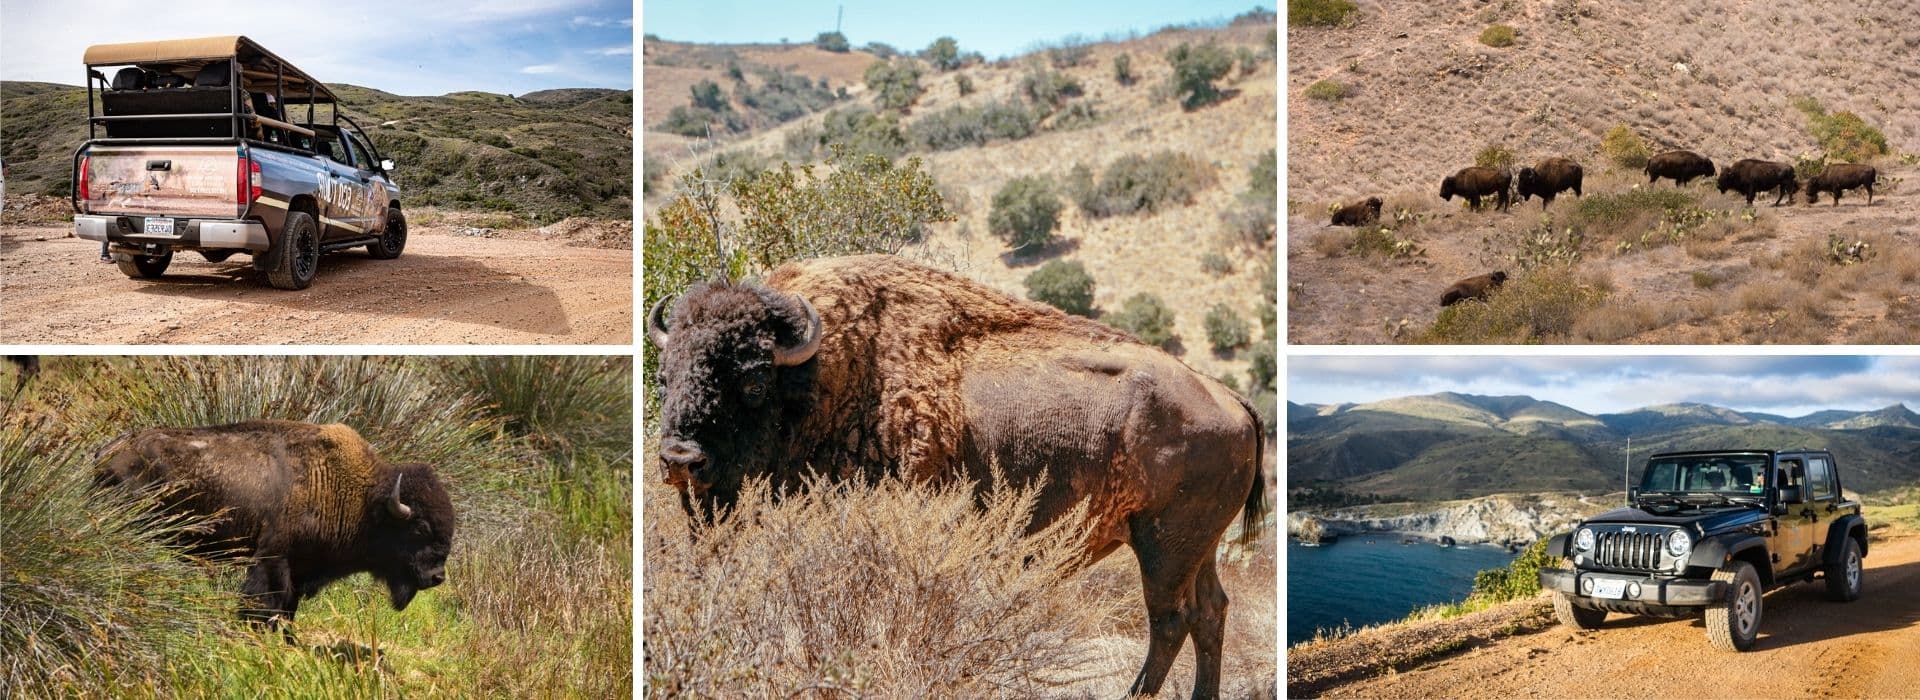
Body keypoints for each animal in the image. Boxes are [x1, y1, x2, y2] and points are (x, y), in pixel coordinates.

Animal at [96, 420, 455, 632]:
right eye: (420, 528)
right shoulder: (273, 559)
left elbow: (288, 608)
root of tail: (108, 451)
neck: (361, 497)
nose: (437, 577)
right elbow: (267, 602)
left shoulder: (300, 569)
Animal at [648, 255, 1266, 699]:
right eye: (664, 376)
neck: (825, 381)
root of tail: (1230, 399)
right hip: (1197, 548)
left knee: (1170, 621)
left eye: (753, 384)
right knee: (1209, 613)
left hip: (1162, 545)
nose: (680, 460)